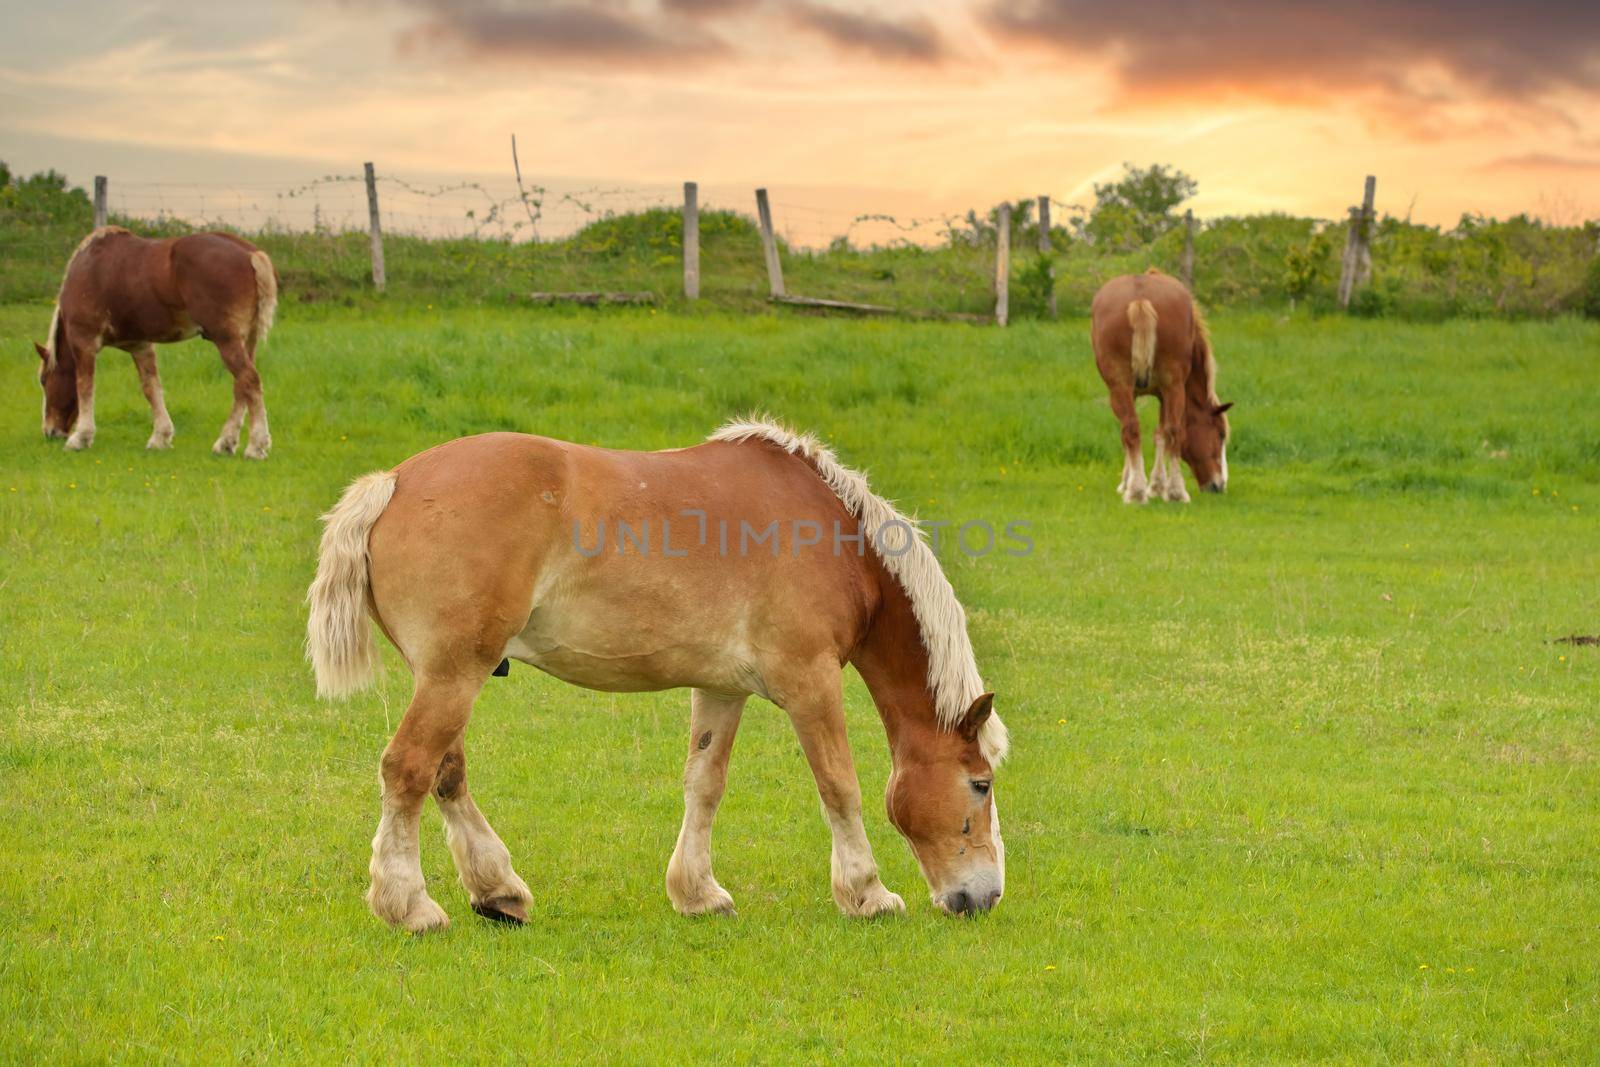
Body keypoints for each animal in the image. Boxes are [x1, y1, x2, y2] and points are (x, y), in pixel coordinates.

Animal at [35, 225, 278, 460]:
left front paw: (80, 438)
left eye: (43, 380)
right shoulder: (140, 345)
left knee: (250, 381)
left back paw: (256, 446)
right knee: (241, 387)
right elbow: (151, 388)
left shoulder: (83, 342)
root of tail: (250, 254)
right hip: (246, 341)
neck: (87, 268)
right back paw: (226, 443)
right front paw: (161, 437)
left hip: (226, 340)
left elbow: (85, 387)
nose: (50, 431)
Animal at [308, 415, 1011, 934]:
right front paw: (868, 893)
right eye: (979, 785)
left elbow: (705, 783)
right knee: (407, 769)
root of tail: (393, 482)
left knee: (445, 775)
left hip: (446, 677)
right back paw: (411, 906)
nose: (986, 896)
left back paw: (498, 890)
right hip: (454, 675)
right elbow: (840, 786)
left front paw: (698, 892)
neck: (836, 538)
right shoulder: (810, 683)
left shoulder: (723, 689)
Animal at [1088, 267, 1235, 502]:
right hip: (1169, 387)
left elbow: (1152, 435)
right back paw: (1168, 492)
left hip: (1134, 387)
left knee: (1140, 430)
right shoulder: (1161, 393)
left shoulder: (1153, 393)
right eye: (1220, 434)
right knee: (1162, 430)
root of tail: (1140, 299)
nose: (1220, 485)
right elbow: (1158, 434)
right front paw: (1150, 485)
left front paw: (1146, 484)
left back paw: (1145, 492)